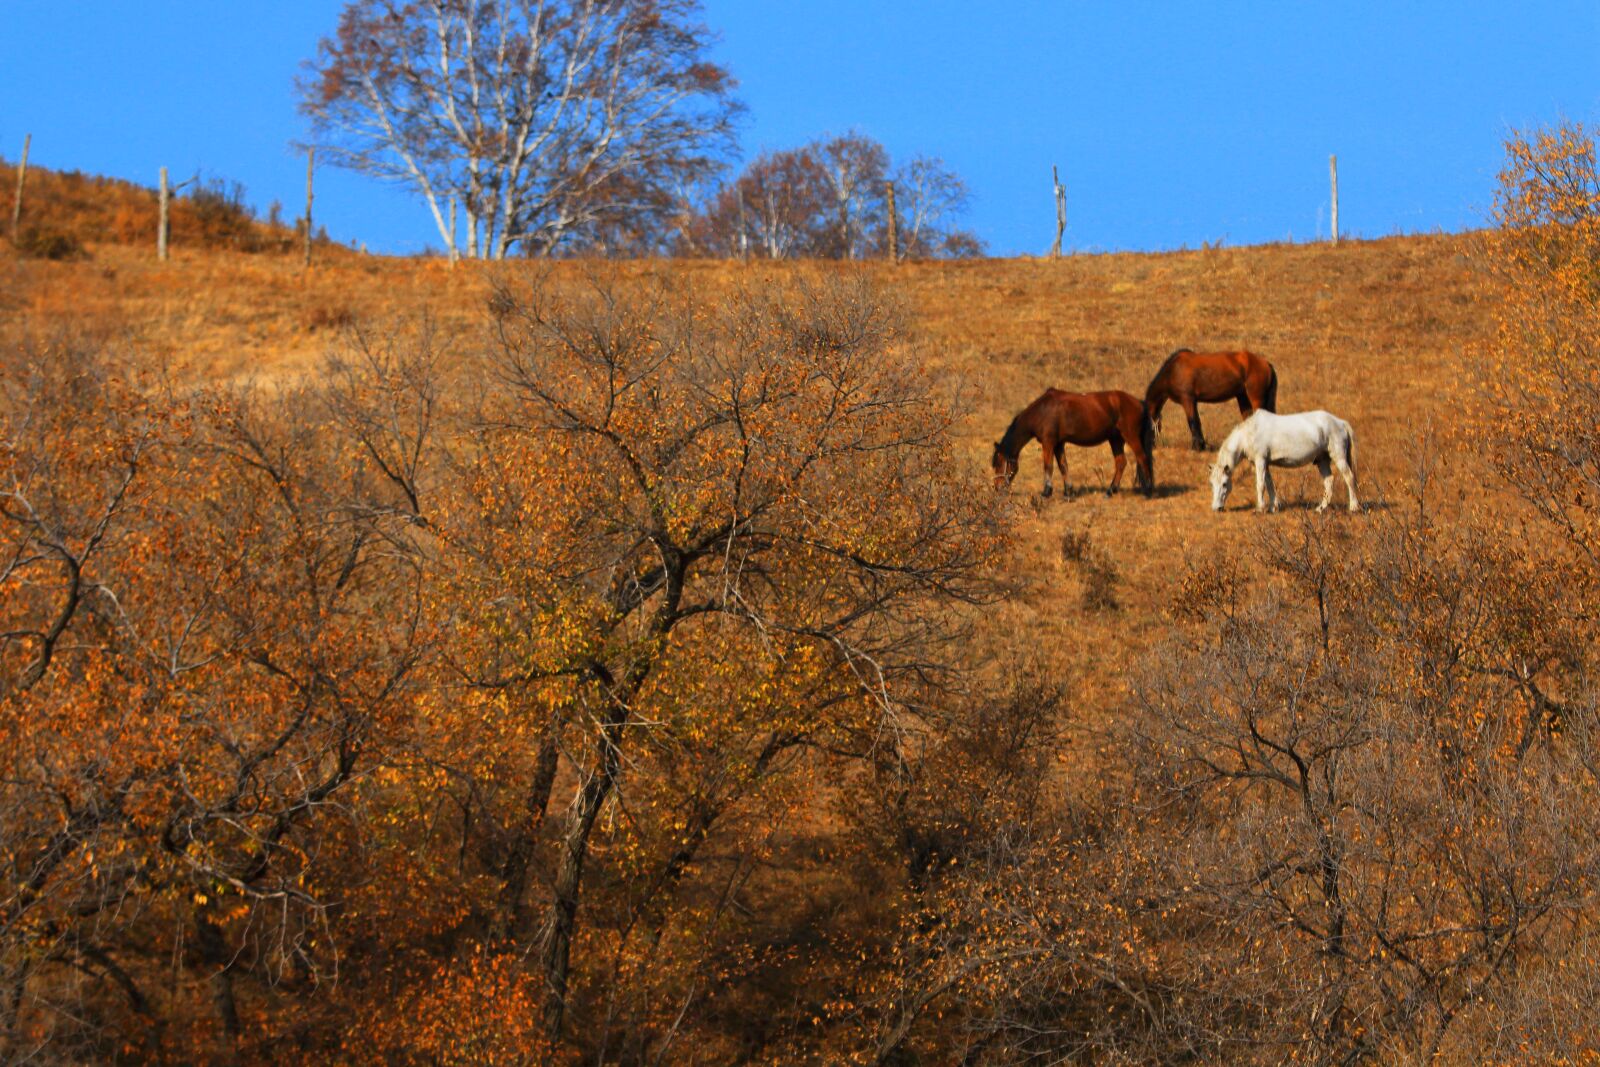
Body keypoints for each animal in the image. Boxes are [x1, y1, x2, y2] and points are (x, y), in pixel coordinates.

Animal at [985, 390, 1152, 499]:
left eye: (999, 463)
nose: (997, 487)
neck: (1042, 411)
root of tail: (1139, 402)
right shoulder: (1059, 444)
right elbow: (1063, 466)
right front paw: (1068, 492)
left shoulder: (1048, 443)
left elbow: (1048, 466)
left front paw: (1046, 492)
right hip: (1115, 439)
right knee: (1121, 463)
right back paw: (1111, 491)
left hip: (1130, 436)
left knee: (1142, 458)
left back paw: (1148, 491)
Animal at [1145, 350, 1280, 451]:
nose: (1151, 447)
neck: (1173, 370)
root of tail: (1266, 363)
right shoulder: (1192, 402)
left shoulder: (1187, 400)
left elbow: (1193, 421)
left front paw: (1197, 447)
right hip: (1243, 397)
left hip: (1255, 399)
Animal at [1209, 409, 1363, 511]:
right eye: (1212, 484)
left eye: (1224, 484)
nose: (1216, 508)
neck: (1249, 433)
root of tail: (1341, 423)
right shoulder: (1265, 463)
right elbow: (1269, 484)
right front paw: (1273, 507)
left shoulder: (1260, 461)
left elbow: (1260, 484)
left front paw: (1261, 508)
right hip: (1322, 460)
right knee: (1329, 481)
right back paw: (1321, 508)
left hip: (1339, 457)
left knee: (1349, 477)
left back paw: (1353, 507)